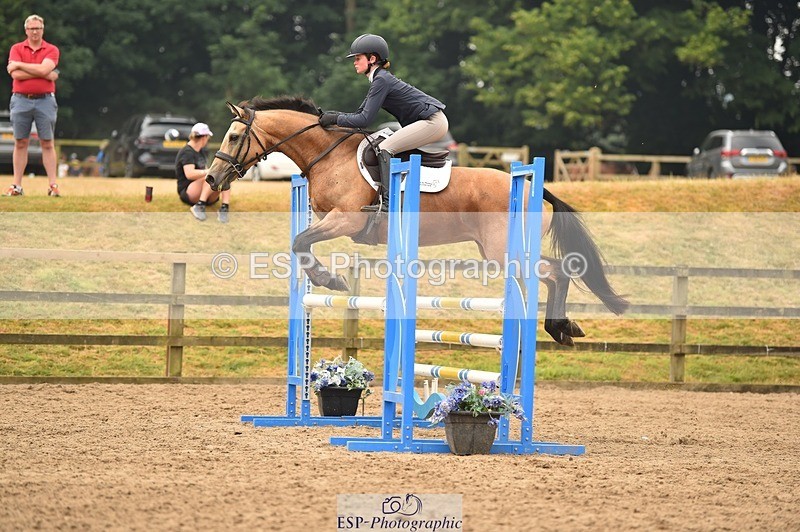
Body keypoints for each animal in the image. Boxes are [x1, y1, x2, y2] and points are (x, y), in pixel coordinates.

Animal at [205, 96, 628, 346]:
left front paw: (330, 280)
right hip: (499, 251)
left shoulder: (345, 221)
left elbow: (300, 242)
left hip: (505, 251)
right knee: (556, 274)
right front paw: (327, 278)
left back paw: (560, 328)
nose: (211, 179)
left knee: (558, 273)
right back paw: (562, 328)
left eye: (233, 137)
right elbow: (300, 244)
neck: (329, 155)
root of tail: (534, 188)